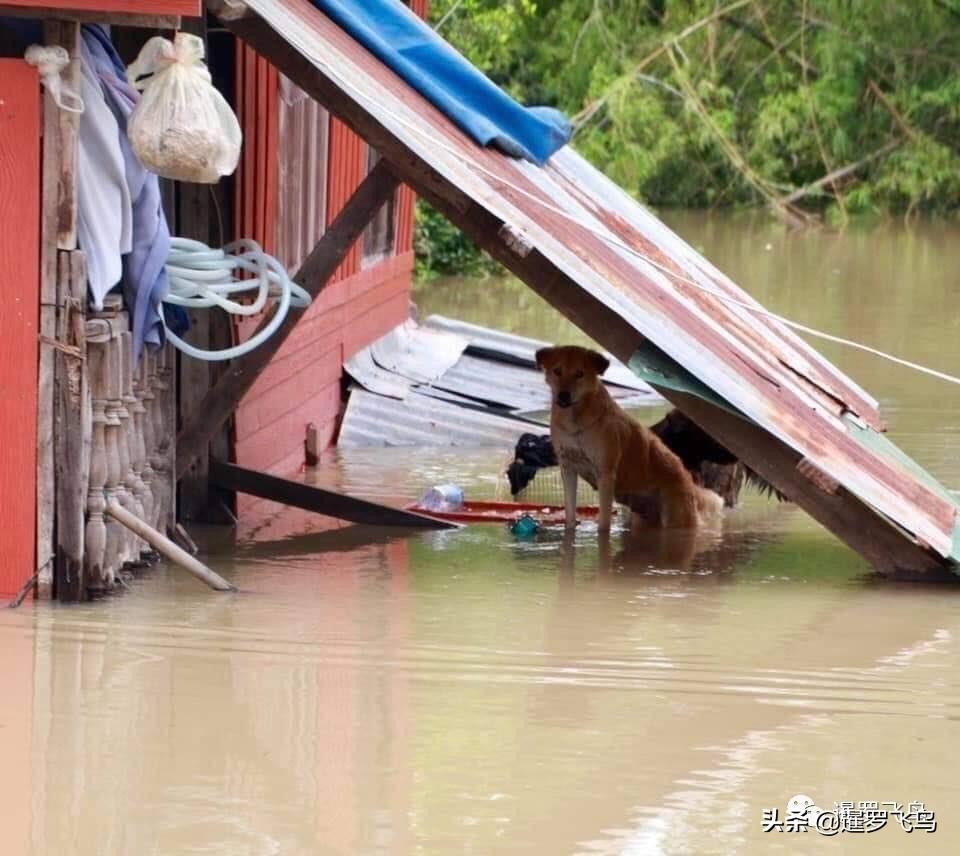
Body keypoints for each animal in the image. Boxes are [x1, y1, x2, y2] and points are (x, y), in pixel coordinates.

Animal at [532, 344, 720, 532]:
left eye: (579, 374)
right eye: (557, 371)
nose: (563, 395)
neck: (575, 423)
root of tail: (688, 480)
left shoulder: (605, 474)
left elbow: (603, 524)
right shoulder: (568, 469)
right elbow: (570, 517)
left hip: (676, 519)